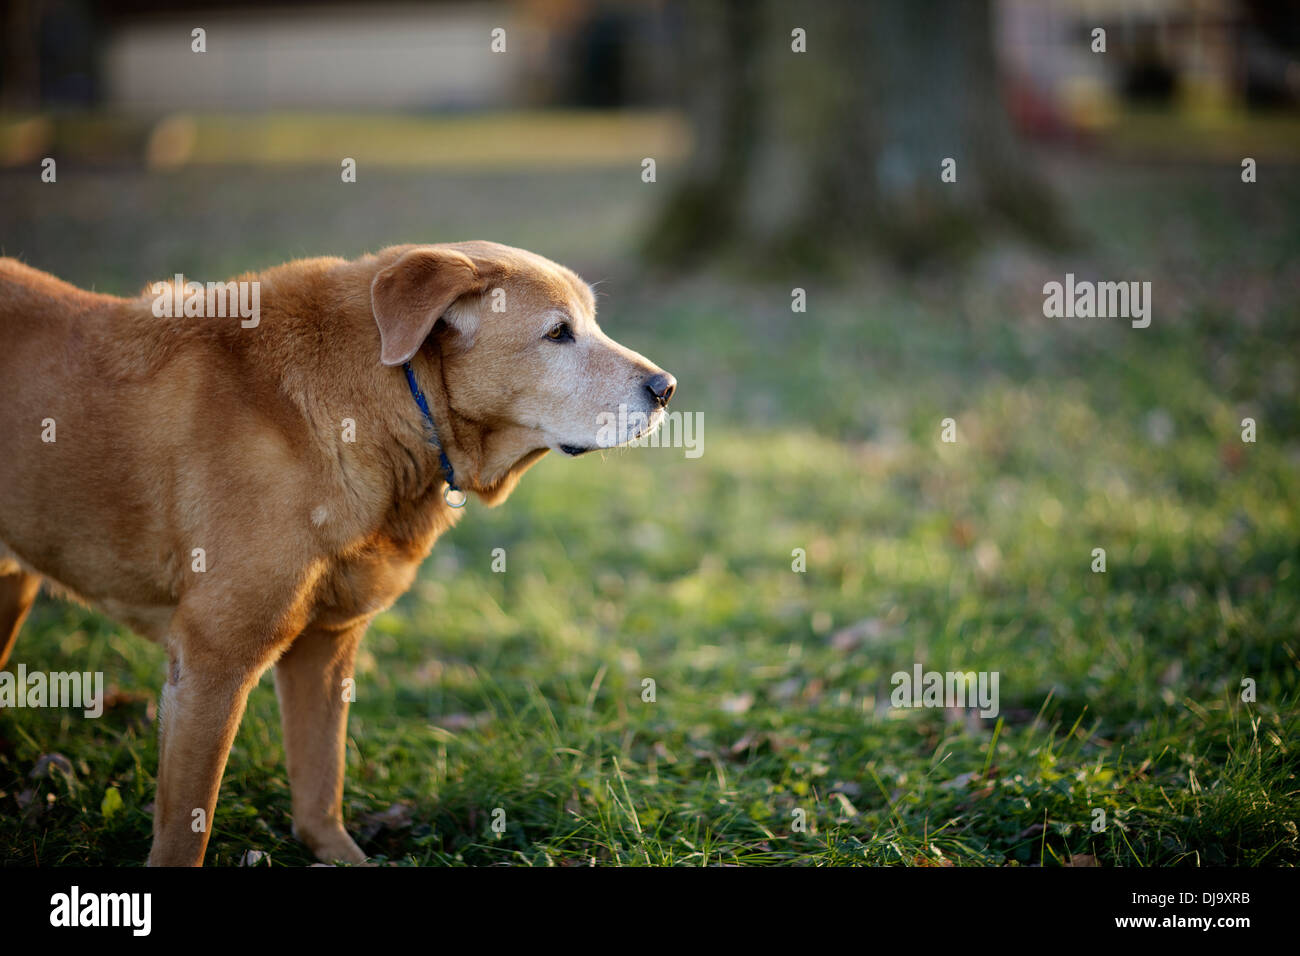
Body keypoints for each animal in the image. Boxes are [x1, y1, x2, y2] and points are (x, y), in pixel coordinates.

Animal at [0, 240, 670, 868]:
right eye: (558, 332)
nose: (667, 389)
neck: (390, 399)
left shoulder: (325, 647)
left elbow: (320, 786)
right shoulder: (212, 664)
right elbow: (186, 829)